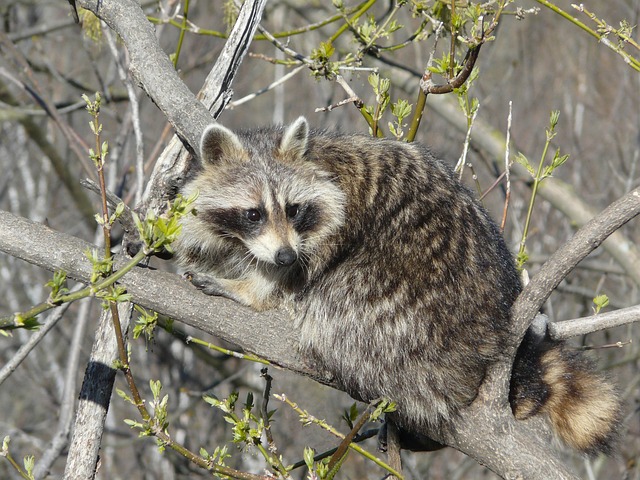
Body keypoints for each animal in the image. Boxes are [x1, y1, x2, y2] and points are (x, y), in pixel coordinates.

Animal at [174, 117, 622, 455]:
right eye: (253, 213)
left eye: (294, 209)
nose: (283, 255)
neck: (319, 160)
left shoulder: (333, 228)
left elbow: (294, 278)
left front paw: (251, 289)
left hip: (406, 318)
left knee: (337, 305)